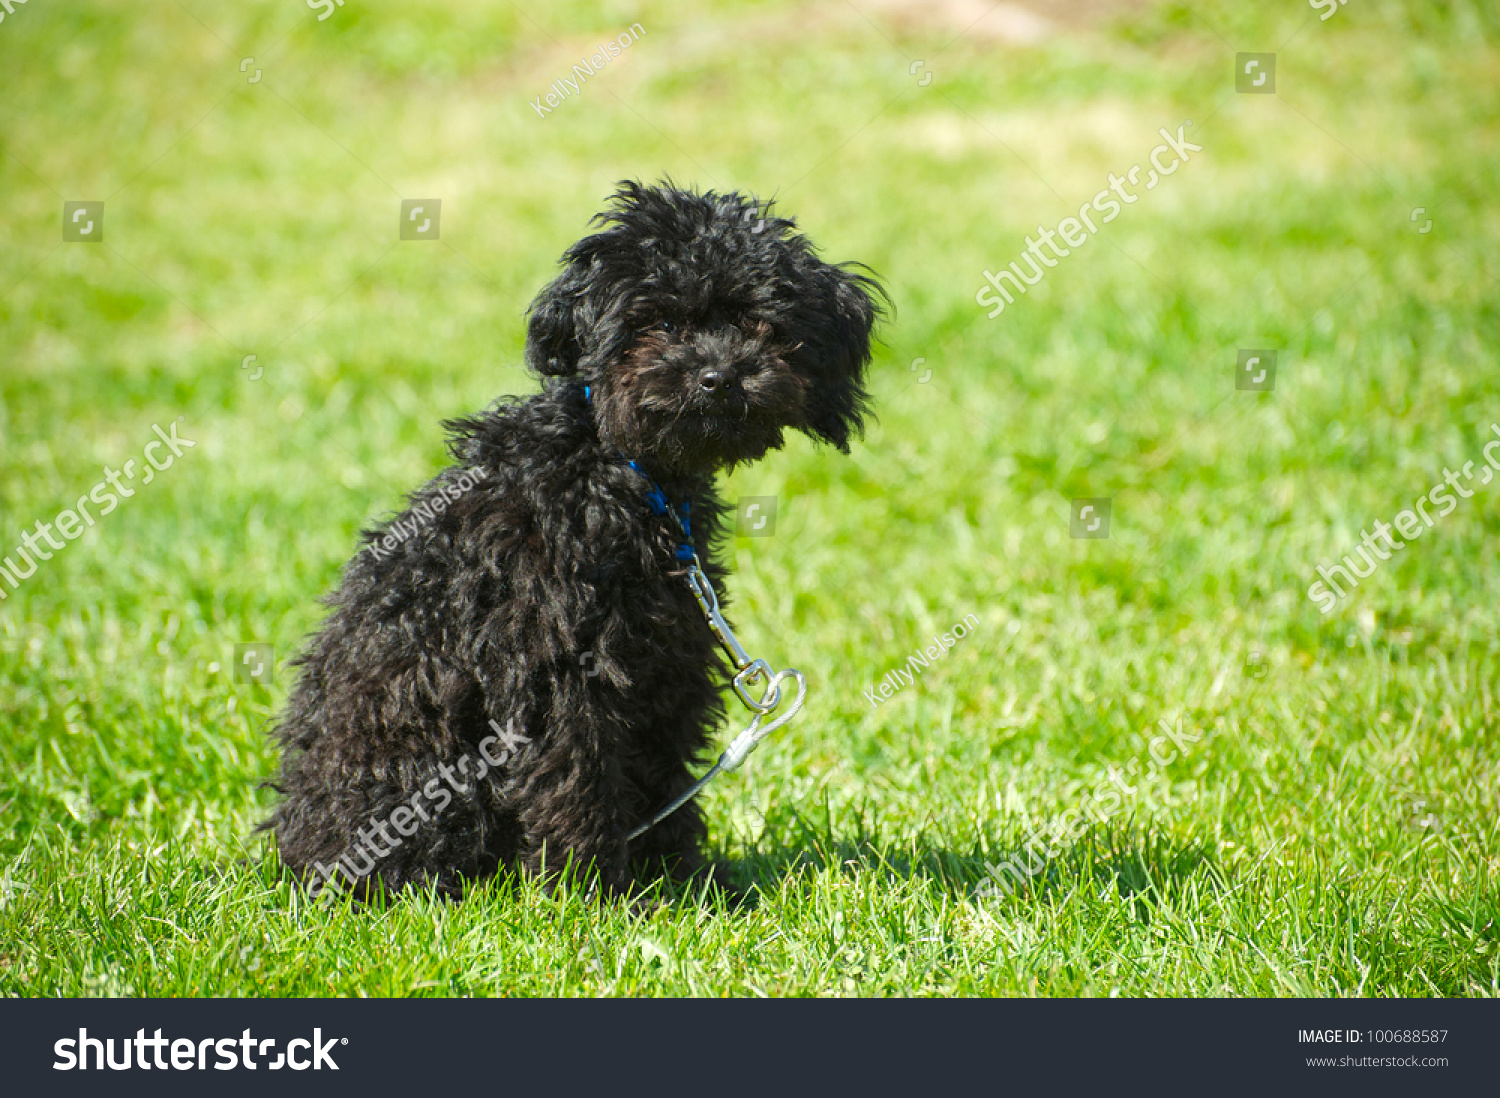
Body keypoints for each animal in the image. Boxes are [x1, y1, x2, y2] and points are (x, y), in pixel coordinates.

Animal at [267, 180, 876, 900]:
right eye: (659, 323)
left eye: (762, 324)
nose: (719, 376)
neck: (621, 473)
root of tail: (296, 851)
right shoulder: (551, 674)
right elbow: (575, 782)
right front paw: (591, 894)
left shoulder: (669, 659)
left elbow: (664, 778)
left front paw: (685, 880)